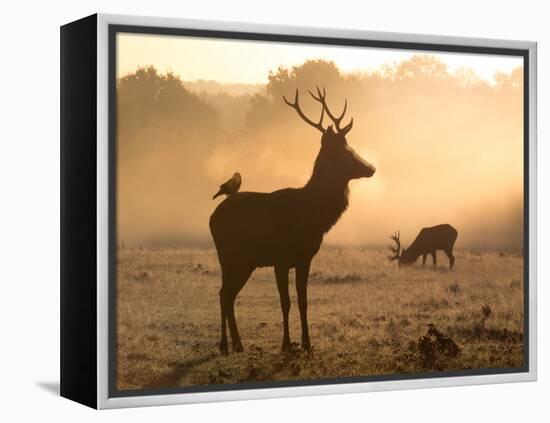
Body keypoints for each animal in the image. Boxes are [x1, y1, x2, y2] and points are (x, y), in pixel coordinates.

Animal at [209, 88, 378, 356]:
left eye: (350, 146)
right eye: (345, 151)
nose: (371, 168)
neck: (313, 215)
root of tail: (212, 217)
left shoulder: (305, 258)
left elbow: (303, 300)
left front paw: (307, 343)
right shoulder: (280, 259)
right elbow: (285, 301)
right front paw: (286, 344)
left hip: (243, 261)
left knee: (227, 294)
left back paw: (237, 344)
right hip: (230, 255)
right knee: (224, 293)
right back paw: (226, 345)